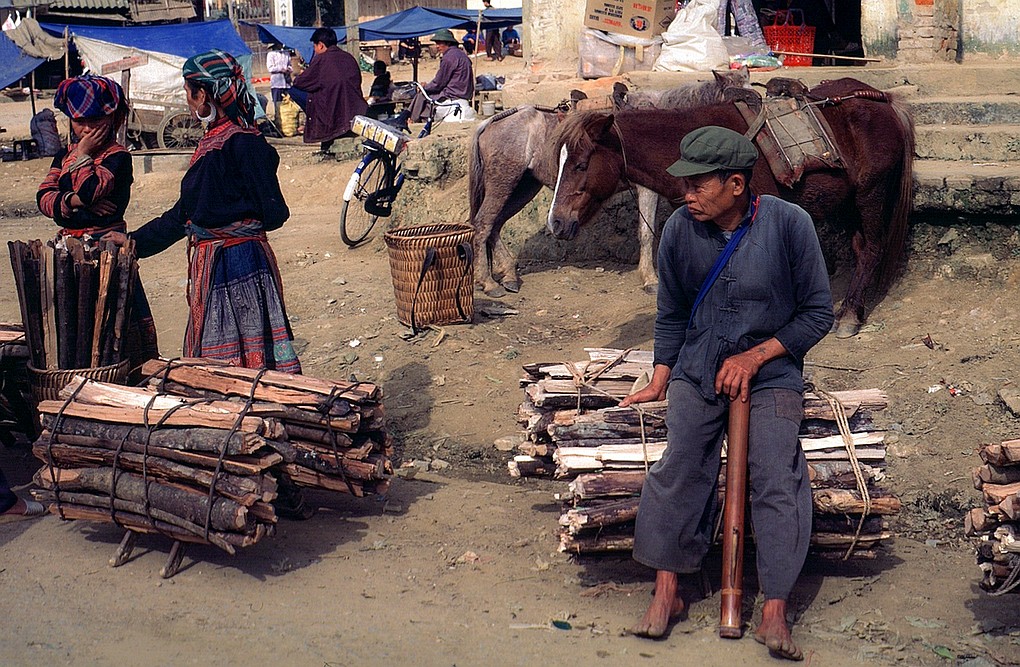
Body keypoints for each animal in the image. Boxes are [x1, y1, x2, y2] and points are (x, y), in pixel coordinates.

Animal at [468, 69, 752, 298]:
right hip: (504, 182)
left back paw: (508, 275)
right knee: (482, 224)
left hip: (523, 187)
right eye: (738, 99)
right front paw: (650, 279)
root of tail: (491, 121)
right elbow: (647, 232)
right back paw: (488, 282)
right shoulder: (647, 189)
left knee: (495, 224)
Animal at [546, 78, 915, 338]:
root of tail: (883, 100)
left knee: (870, 249)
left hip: (871, 193)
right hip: (847, 201)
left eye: (580, 164)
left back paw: (849, 315)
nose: (556, 223)